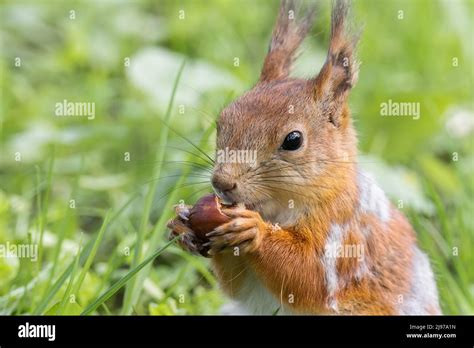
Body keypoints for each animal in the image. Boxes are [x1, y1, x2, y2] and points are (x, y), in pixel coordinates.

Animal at [167, 0, 440, 316]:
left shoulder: (344, 231)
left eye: (293, 140)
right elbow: (237, 285)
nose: (221, 182)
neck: (275, 210)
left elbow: (310, 278)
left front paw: (254, 231)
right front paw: (181, 225)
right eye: (221, 122)